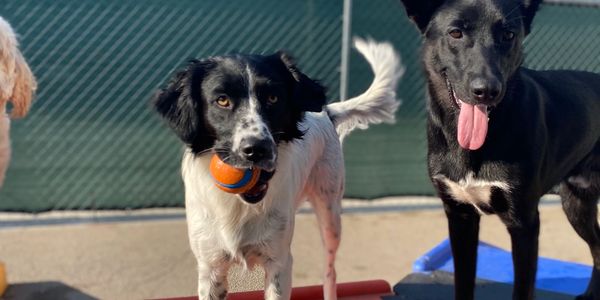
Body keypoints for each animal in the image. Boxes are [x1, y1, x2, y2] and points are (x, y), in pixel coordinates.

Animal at [152, 38, 404, 300]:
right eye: (222, 100)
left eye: (273, 98)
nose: (256, 149)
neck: (239, 206)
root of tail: (327, 111)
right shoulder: (211, 267)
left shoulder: (279, 261)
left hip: (331, 217)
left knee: (330, 271)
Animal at [398, 0, 600, 298]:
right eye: (456, 32)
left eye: (508, 35)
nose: (487, 91)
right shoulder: (460, 216)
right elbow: (463, 281)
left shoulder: (525, 223)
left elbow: (522, 289)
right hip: (577, 204)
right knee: (598, 247)